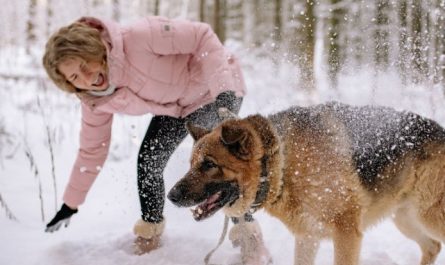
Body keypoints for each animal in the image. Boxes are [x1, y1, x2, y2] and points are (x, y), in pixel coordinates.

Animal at [168, 101, 444, 264]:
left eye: (209, 165)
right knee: (432, 246)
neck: (281, 161)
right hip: (406, 219)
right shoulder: (307, 236)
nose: (171, 196)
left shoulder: (346, 233)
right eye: (192, 164)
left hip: (428, 216)